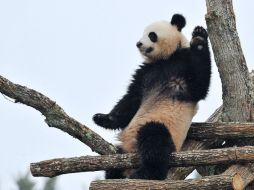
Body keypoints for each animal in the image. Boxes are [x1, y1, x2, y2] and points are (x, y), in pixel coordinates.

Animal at [93, 14, 210, 180]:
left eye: (151, 35)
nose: (138, 43)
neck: (164, 59)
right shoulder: (145, 73)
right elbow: (131, 99)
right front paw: (102, 118)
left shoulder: (182, 68)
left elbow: (199, 85)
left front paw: (199, 37)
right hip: (123, 151)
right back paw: (116, 175)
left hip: (167, 133)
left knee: (154, 140)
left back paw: (145, 174)